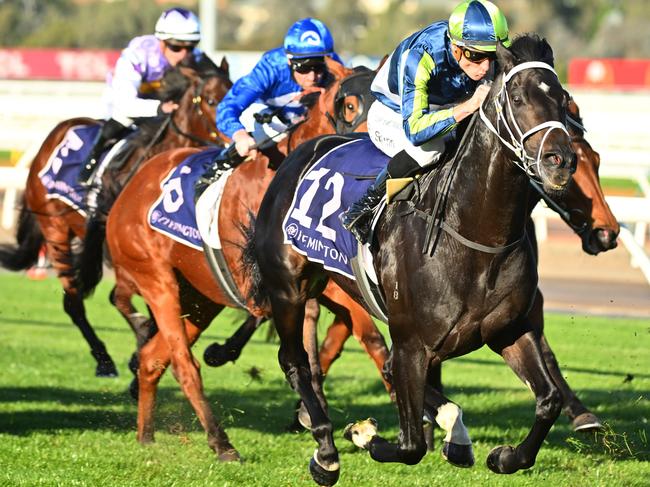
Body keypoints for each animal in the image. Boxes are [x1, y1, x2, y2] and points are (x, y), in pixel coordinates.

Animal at [0, 61, 230, 378]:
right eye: (209, 100)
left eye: (233, 89)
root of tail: (57, 131)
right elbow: (131, 300)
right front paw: (142, 346)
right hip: (55, 229)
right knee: (73, 301)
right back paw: (104, 360)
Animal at [97, 59, 380, 464]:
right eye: (351, 105)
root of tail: (128, 189)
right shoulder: (266, 280)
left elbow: (358, 334)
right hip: (158, 282)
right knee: (183, 364)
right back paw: (221, 441)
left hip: (198, 298)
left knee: (153, 358)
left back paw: (146, 434)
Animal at [248, 35, 576, 484]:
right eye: (516, 97)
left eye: (563, 99)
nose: (560, 161)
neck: (476, 236)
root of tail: (301, 151)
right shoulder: (410, 344)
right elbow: (410, 445)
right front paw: (366, 436)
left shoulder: (509, 329)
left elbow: (549, 400)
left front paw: (504, 456)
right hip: (288, 288)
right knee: (295, 361)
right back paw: (327, 452)